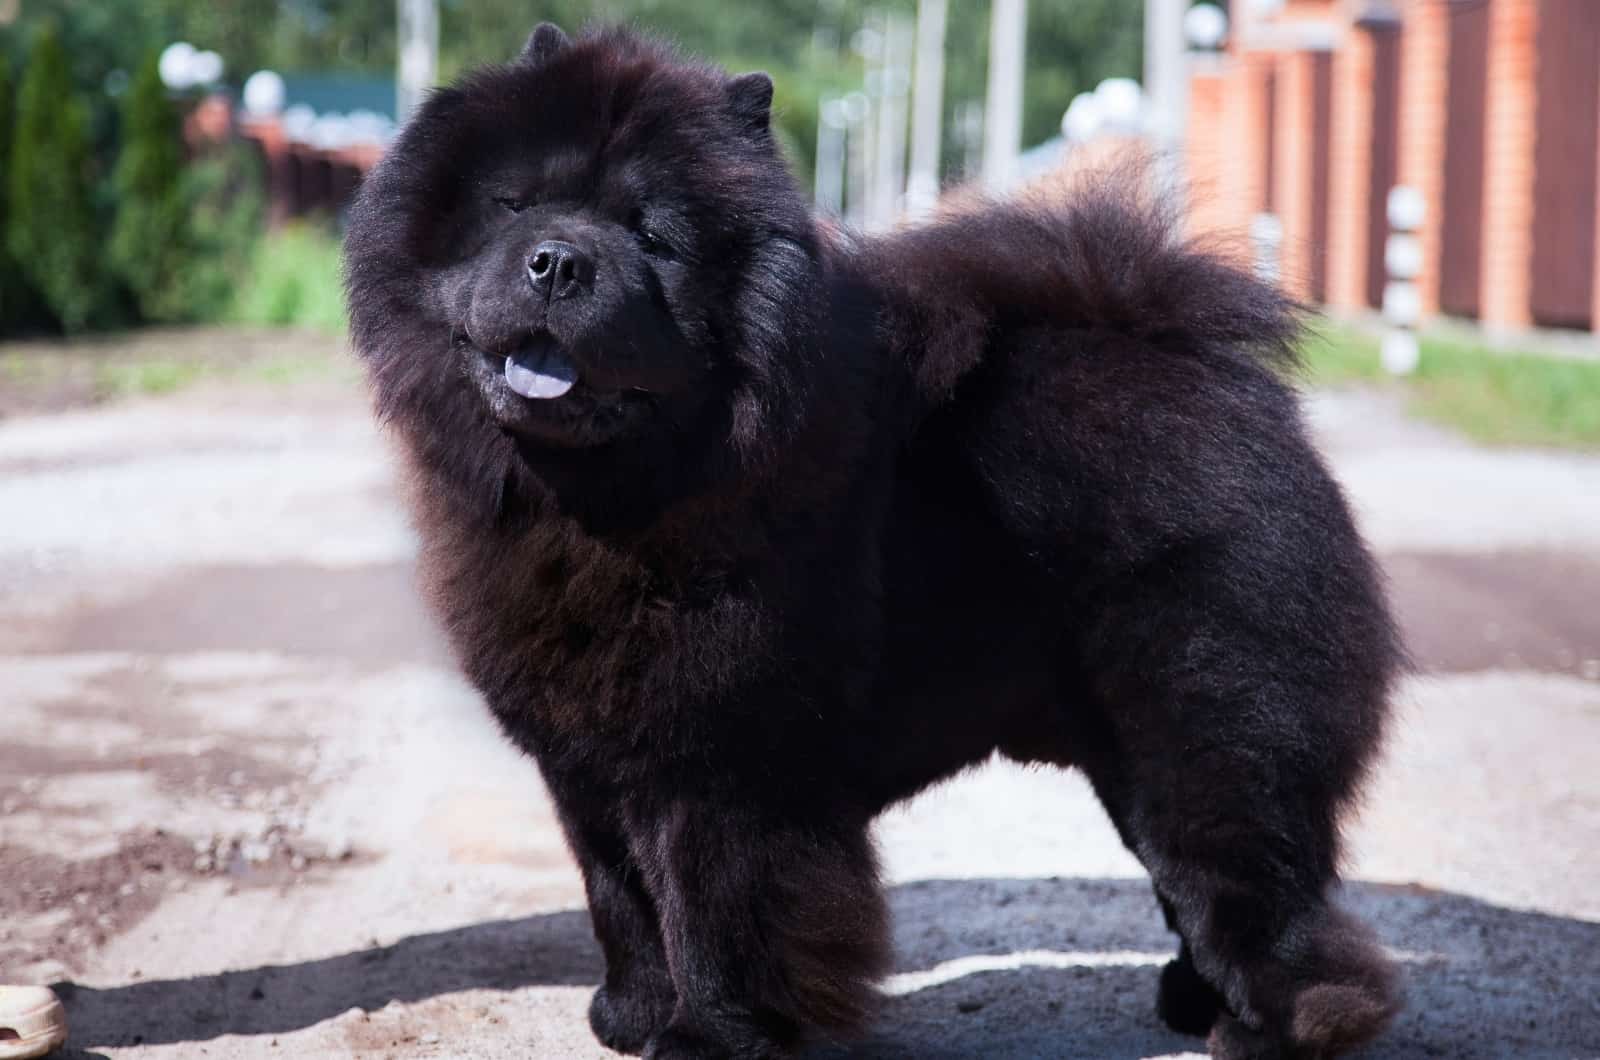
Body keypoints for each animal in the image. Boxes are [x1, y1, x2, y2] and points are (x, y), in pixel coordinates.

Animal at [340, 24, 1401, 1060]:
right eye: (514, 205)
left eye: (653, 237)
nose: (559, 260)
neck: (600, 502)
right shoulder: (587, 765)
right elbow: (622, 900)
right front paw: (628, 1017)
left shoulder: (727, 767)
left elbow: (716, 917)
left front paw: (708, 1040)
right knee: (1196, 894)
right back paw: (1191, 999)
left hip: (1203, 727)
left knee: (1254, 893)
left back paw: (1265, 1029)